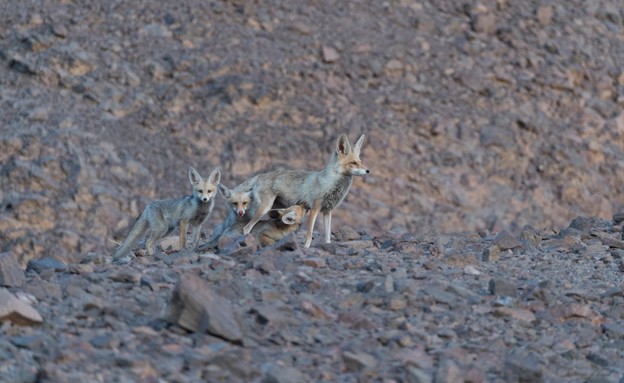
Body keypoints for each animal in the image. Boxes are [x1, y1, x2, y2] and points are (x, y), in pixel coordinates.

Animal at [238, 134, 366, 249]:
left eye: (360, 162)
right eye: (353, 163)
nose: (368, 171)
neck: (329, 184)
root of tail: (259, 176)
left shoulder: (327, 211)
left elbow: (327, 235)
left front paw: (328, 245)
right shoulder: (314, 209)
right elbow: (309, 234)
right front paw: (306, 247)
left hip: (276, 209)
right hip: (264, 208)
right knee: (246, 228)